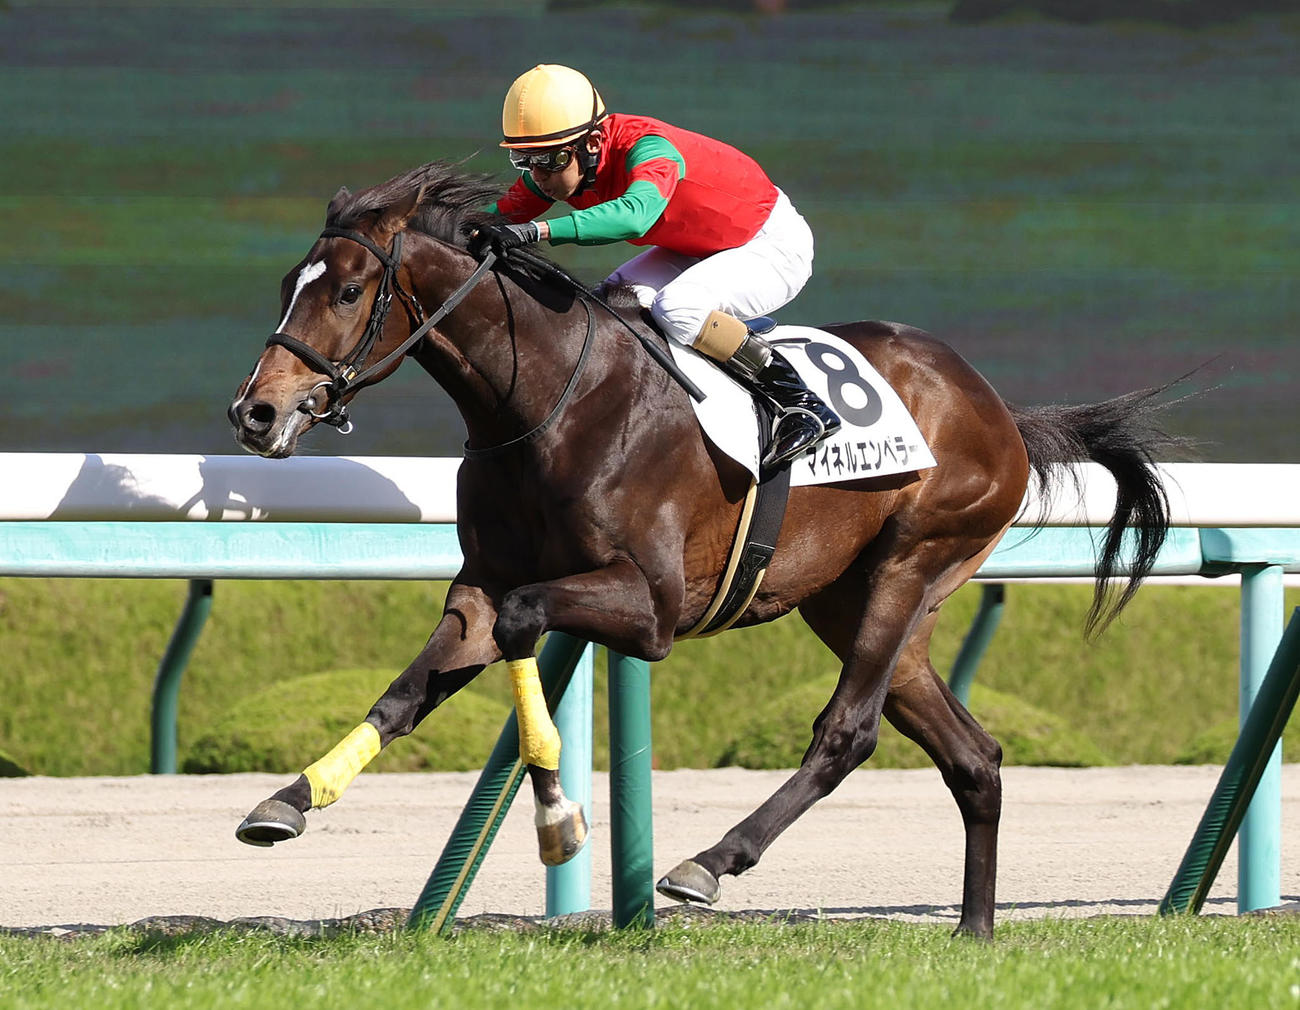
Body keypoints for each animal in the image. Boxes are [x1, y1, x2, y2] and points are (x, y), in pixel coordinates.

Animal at [226, 160, 1178, 938]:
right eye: (285, 285)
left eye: (349, 292)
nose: (256, 412)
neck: (549, 403)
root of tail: (994, 407)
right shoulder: (481, 587)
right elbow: (405, 691)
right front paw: (288, 800)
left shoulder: (649, 607)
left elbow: (528, 627)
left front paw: (558, 819)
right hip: (853, 599)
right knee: (973, 757)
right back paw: (974, 931)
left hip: (915, 561)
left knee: (848, 732)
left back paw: (710, 863)